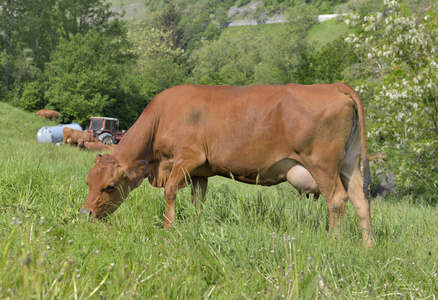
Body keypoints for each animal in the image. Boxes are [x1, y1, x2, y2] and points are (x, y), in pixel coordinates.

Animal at [81, 82, 372, 248]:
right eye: (88, 181)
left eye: (110, 186)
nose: (85, 214)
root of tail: (332, 85)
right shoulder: (200, 173)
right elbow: (198, 202)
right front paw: (195, 226)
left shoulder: (188, 158)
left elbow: (170, 192)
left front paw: (168, 228)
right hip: (349, 163)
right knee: (360, 200)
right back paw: (367, 246)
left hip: (323, 164)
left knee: (337, 199)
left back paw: (333, 242)